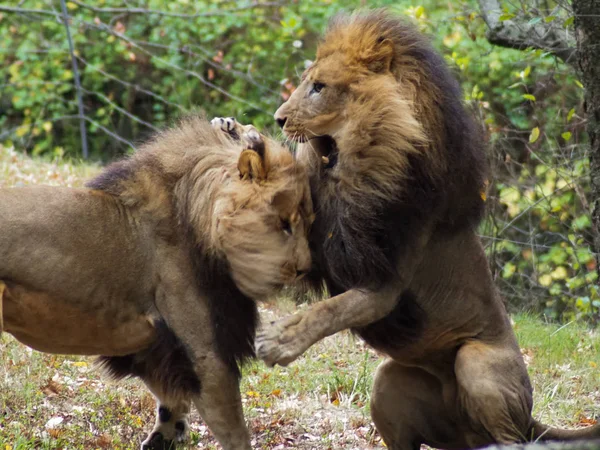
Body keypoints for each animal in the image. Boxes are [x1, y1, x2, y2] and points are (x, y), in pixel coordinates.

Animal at [1, 117, 314, 450]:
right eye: (284, 223)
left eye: (308, 222)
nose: (304, 269)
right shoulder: (205, 353)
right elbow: (234, 431)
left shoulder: (153, 345)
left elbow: (171, 402)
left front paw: (163, 438)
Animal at [254, 10, 600, 450]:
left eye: (319, 87)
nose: (279, 119)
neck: (349, 172)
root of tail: (528, 417)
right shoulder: (326, 249)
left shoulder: (384, 282)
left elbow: (330, 310)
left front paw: (279, 340)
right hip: (388, 381)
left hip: (477, 362)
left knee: (512, 437)